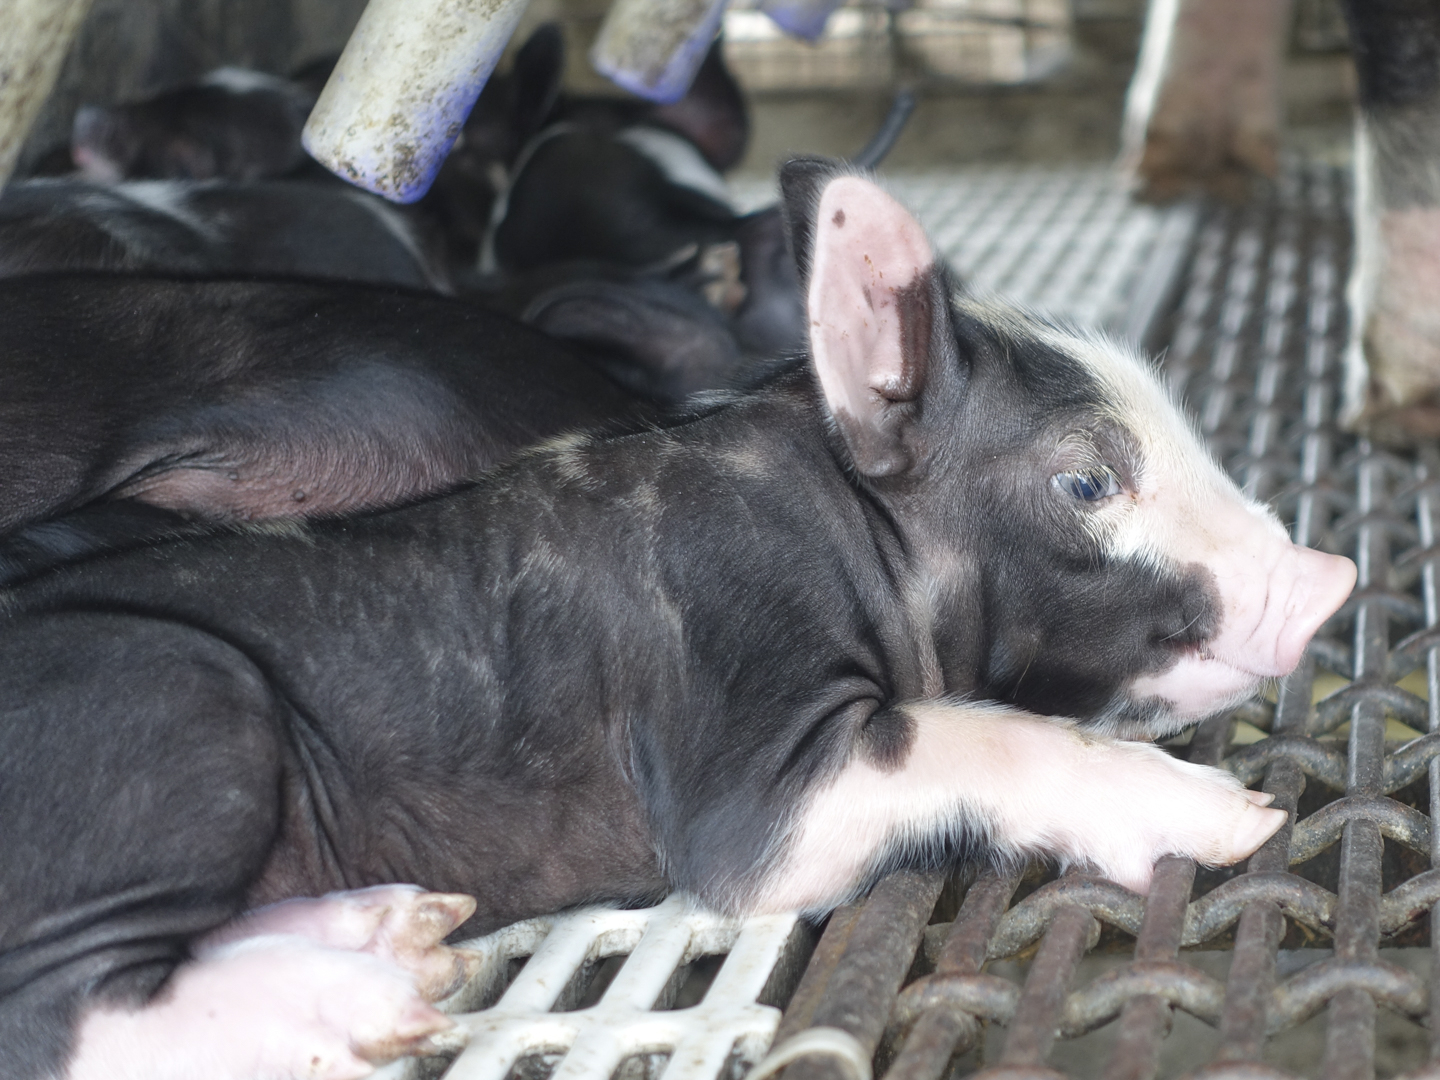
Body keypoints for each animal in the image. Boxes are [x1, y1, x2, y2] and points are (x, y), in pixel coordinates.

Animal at [0, 163, 1355, 1080]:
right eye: (1085, 481)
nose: (1335, 573)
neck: (844, 529)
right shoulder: (745, 771)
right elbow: (963, 736)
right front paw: (1239, 820)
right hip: (178, 691)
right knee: (61, 1009)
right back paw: (374, 1002)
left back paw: (412, 939)